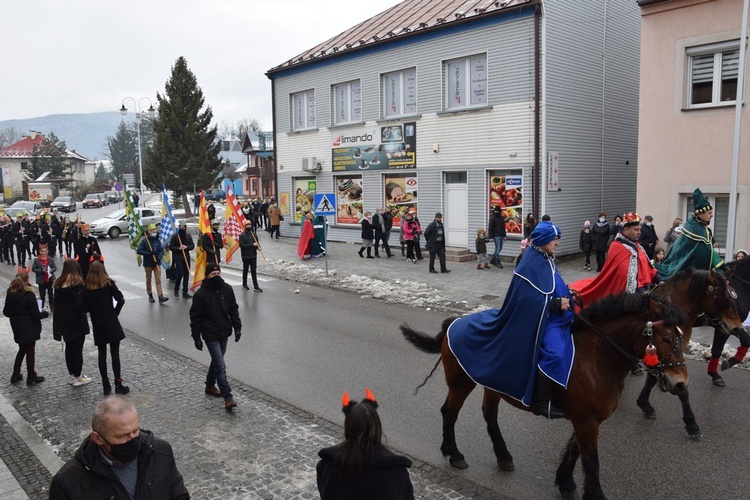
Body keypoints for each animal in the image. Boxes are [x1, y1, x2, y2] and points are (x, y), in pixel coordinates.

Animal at [402, 292, 692, 500]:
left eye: (681, 337)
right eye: (666, 338)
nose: (680, 383)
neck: (596, 357)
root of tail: (457, 321)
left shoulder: (586, 418)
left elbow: (574, 450)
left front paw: (565, 482)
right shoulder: (586, 420)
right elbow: (591, 462)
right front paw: (594, 494)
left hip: (493, 387)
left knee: (489, 416)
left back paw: (503, 456)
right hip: (460, 382)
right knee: (449, 413)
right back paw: (454, 454)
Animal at [636, 270, 748, 438]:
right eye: (725, 299)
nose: (736, 326)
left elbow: (652, 378)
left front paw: (645, 404)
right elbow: (680, 386)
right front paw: (691, 423)